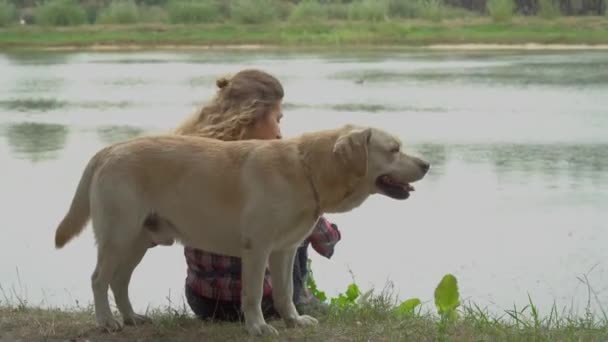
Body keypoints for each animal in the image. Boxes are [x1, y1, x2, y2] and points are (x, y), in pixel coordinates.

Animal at [54, 124, 430, 336]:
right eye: (394, 149)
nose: (427, 164)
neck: (306, 169)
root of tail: (111, 149)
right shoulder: (257, 248)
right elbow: (252, 294)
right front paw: (258, 327)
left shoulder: (284, 250)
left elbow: (284, 292)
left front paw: (293, 321)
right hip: (118, 236)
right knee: (99, 279)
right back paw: (107, 322)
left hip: (138, 241)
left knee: (119, 281)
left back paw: (132, 317)